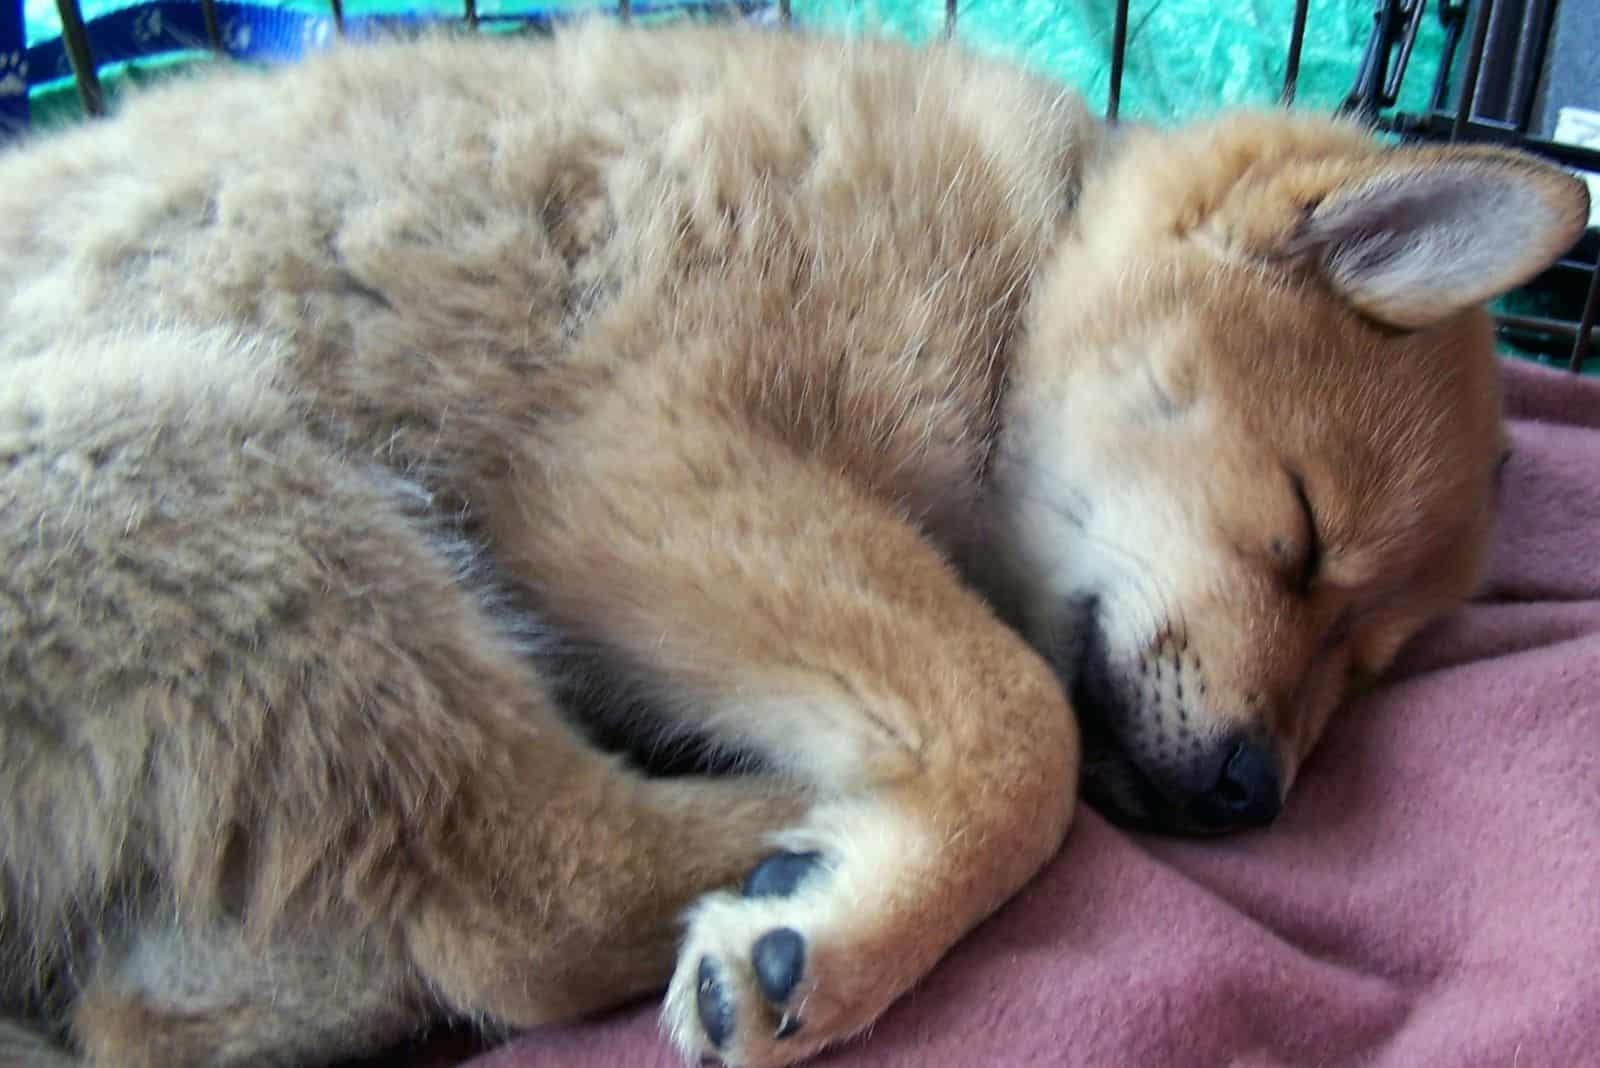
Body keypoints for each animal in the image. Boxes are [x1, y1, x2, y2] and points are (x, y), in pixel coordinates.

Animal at [0, 18, 1587, 1068]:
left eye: (1364, 668)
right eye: (1302, 538)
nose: (1251, 799)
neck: (1020, 252)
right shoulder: (647, 463)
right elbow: (1022, 727)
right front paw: (842, 930)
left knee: (166, 1006)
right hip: (200, 447)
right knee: (526, 912)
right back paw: (769, 835)